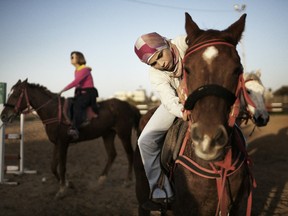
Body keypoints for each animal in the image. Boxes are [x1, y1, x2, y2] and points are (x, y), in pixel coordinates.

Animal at [0, 79, 141, 197]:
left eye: (16, 94)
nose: (3, 116)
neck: (54, 112)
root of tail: (129, 105)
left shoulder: (63, 143)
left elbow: (62, 167)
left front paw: (62, 190)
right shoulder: (56, 143)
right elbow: (53, 167)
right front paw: (68, 184)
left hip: (124, 134)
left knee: (129, 154)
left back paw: (127, 181)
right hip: (108, 134)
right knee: (112, 154)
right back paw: (101, 180)